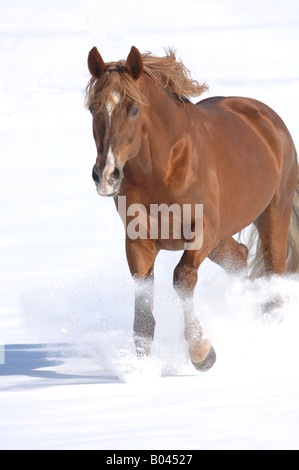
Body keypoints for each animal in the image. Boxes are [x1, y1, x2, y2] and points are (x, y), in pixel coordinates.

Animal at [85, 46, 299, 370]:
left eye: (134, 109)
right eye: (92, 109)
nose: (106, 175)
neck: (161, 170)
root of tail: (268, 118)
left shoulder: (203, 231)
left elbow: (182, 278)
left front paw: (201, 352)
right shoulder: (138, 241)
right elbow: (143, 308)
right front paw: (141, 371)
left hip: (273, 215)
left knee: (273, 280)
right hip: (222, 238)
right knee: (239, 257)